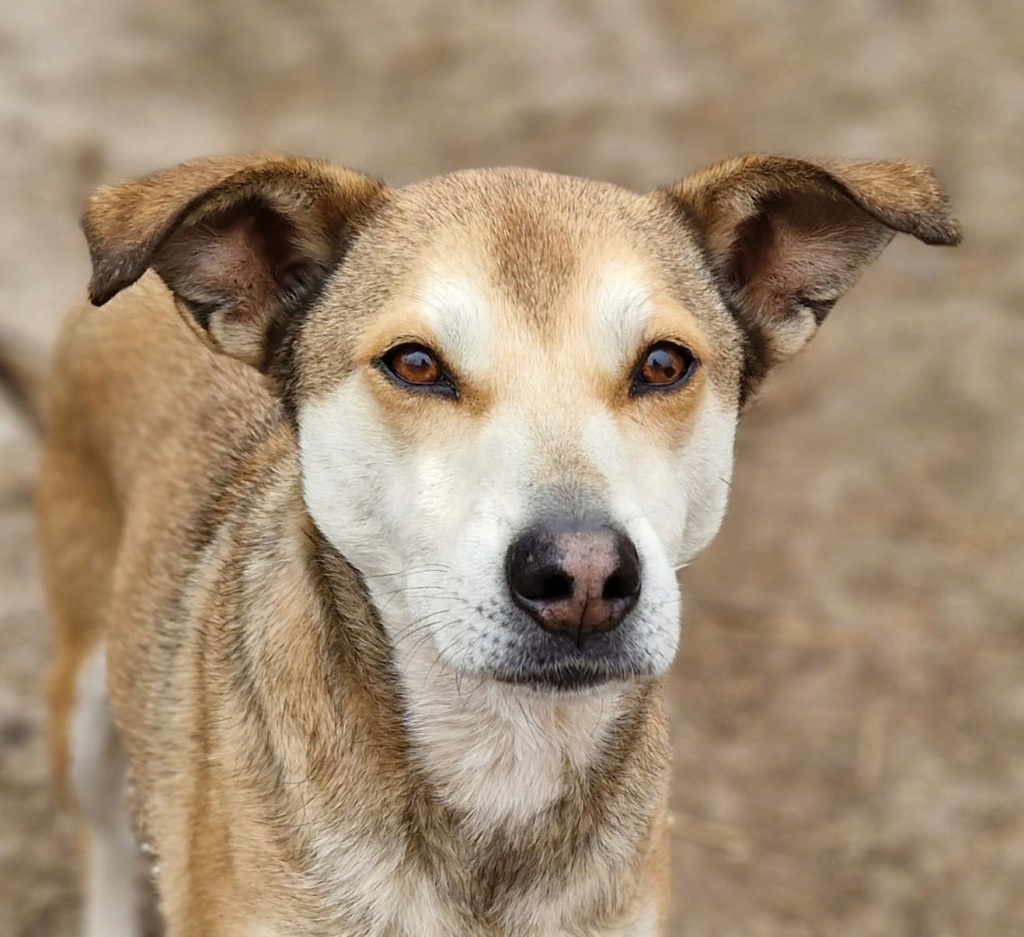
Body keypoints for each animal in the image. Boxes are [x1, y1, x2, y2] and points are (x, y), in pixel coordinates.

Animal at [8, 150, 958, 933]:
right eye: (415, 363)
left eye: (664, 364)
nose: (583, 574)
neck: (504, 761)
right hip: (83, 713)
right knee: (104, 848)